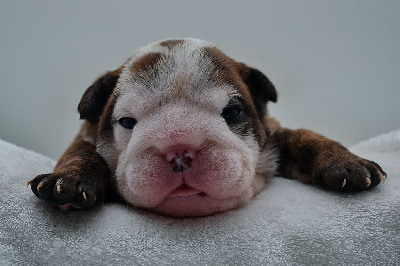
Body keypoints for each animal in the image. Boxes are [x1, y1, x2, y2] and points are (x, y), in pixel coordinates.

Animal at [28, 38, 388, 217]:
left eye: (232, 112)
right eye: (127, 122)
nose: (179, 150)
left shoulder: (275, 133)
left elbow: (305, 137)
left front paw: (347, 163)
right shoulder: (86, 136)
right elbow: (82, 154)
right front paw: (68, 182)